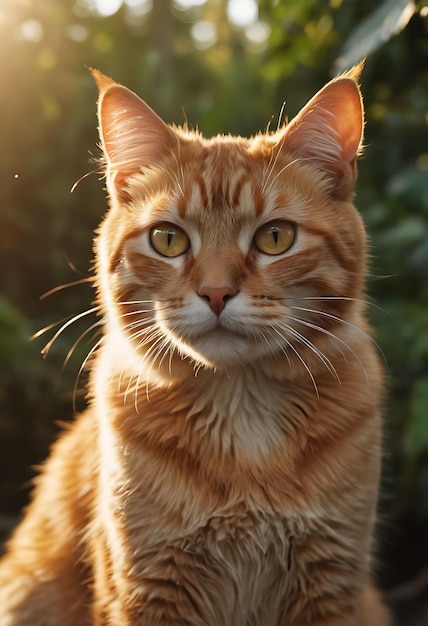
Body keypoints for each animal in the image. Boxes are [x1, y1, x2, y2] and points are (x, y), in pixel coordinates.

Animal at [0, 66, 392, 620]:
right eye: (169, 240)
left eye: (275, 237)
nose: (215, 293)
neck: (241, 410)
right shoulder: (146, 590)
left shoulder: (331, 585)